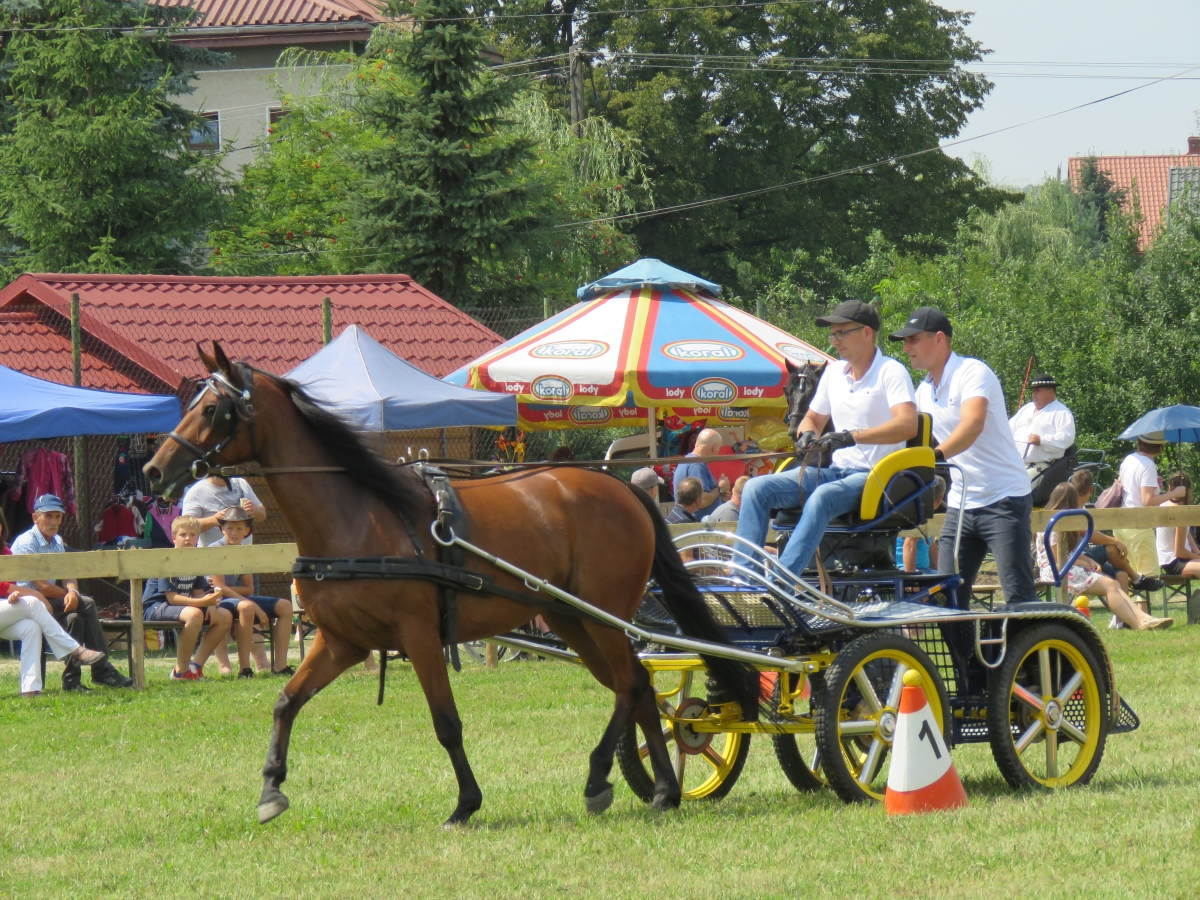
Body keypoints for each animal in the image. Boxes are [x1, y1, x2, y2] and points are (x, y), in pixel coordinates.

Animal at [142, 348, 758, 830]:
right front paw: (271, 789)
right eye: (191, 404)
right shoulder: (342, 642)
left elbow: (446, 722)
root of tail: (623, 489)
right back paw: (663, 791)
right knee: (637, 687)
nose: (152, 470)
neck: (358, 516)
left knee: (630, 684)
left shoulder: (417, 636)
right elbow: (285, 701)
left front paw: (466, 804)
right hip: (571, 620)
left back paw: (607, 780)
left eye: (212, 409)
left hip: (601, 617)